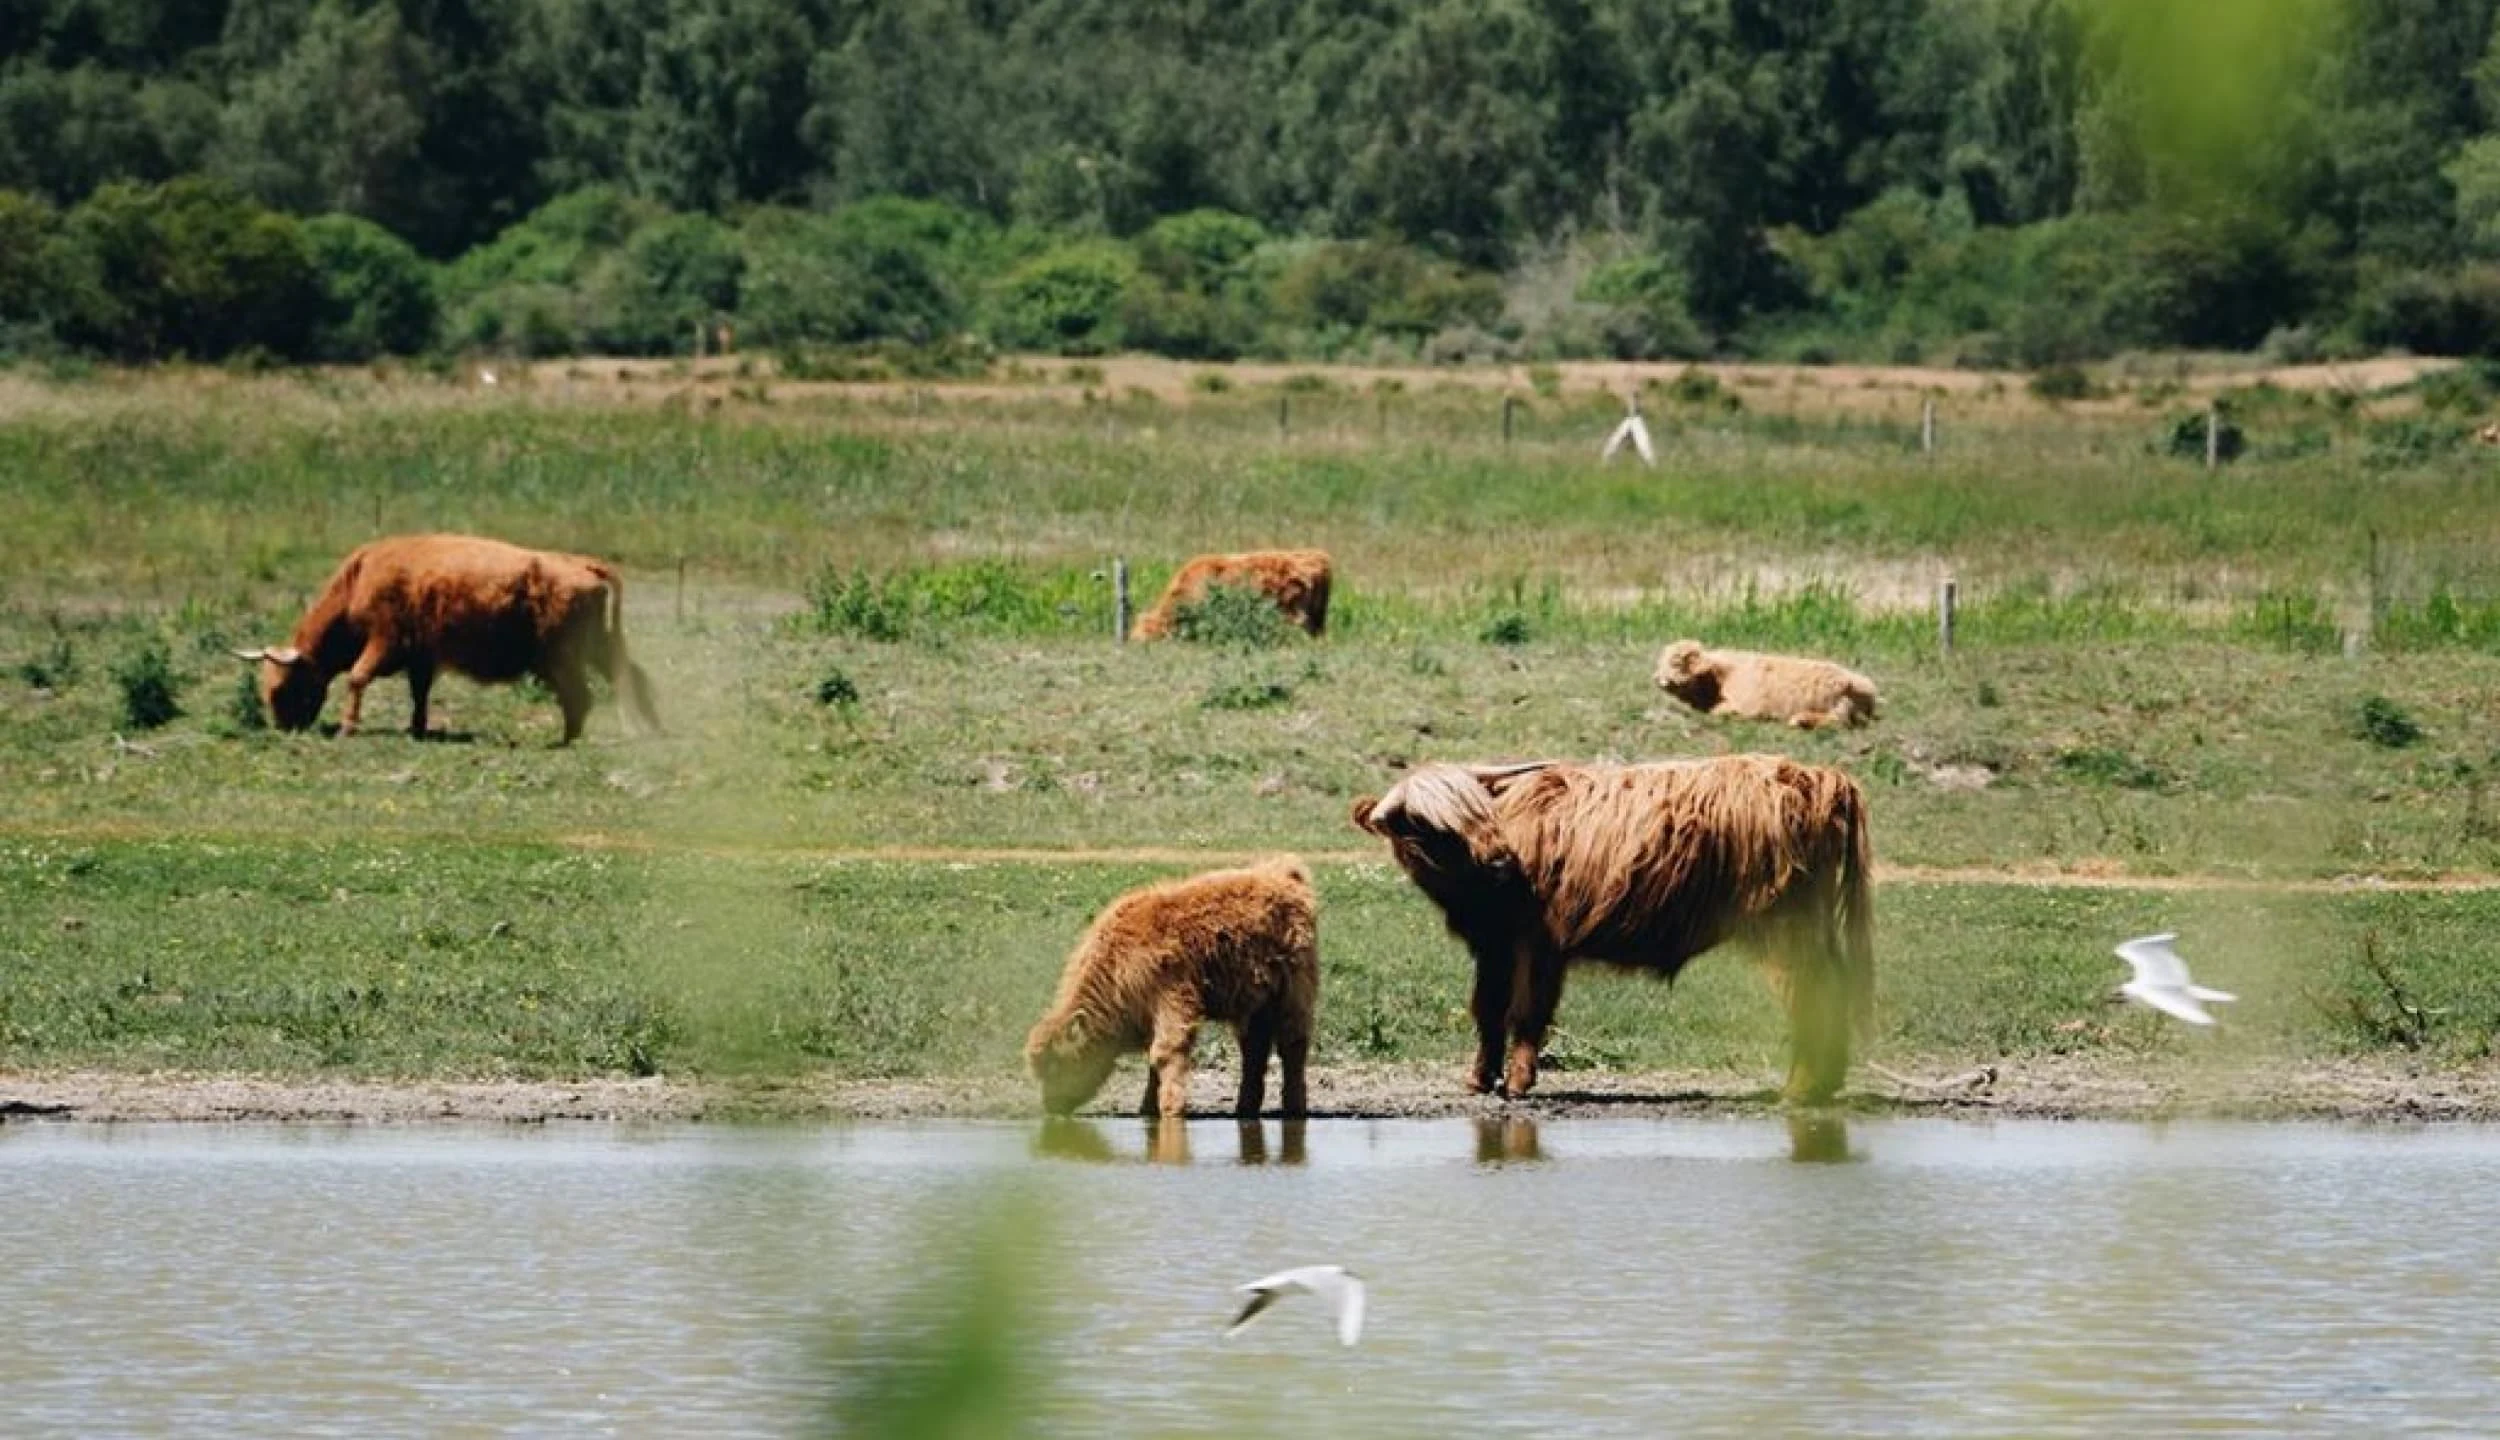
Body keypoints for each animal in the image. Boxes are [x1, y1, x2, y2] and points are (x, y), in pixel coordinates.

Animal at [233, 533, 660, 744]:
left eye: (283, 687)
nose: (284, 728)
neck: (360, 579)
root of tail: (583, 564)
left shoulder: (384, 641)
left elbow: (357, 677)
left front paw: (347, 727)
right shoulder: (420, 658)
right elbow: (418, 693)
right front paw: (417, 729)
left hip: (564, 658)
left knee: (580, 696)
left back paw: (567, 740)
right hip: (597, 649)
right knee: (632, 678)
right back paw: (650, 727)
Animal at [1024, 856, 1320, 1120]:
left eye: (1057, 1065)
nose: (1051, 1105)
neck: (1116, 964)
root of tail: (1283, 876)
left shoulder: (1172, 1003)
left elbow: (1166, 1053)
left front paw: (1170, 1110)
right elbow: (1153, 1060)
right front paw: (1147, 1109)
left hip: (1292, 995)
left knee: (1292, 1045)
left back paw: (1294, 1108)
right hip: (1253, 1004)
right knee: (1254, 1050)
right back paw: (1245, 1109)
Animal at [1351, 755, 1874, 1104]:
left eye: (1476, 812)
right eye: (1427, 826)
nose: (1500, 860)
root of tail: (1820, 778)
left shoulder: (1540, 942)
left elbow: (1527, 1012)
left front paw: (1518, 1083)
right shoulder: (1494, 944)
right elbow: (1488, 1010)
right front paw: (1480, 1079)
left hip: (1787, 929)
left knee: (1811, 994)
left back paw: (1801, 1088)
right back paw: (1825, 1082)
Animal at [1654, 639, 1879, 730]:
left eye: (1676, 662)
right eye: (1660, 659)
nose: (1656, 678)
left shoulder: (1747, 707)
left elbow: (1719, 711)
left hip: (1837, 705)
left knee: (1839, 721)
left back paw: (1800, 720)